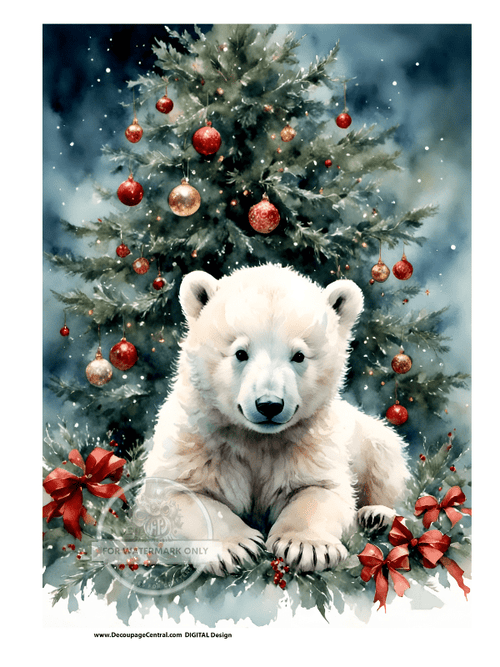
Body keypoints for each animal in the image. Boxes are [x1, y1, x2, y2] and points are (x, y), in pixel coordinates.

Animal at [144, 264, 409, 575]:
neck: (256, 437)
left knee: (385, 463)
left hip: (368, 437)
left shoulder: (311, 443)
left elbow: (320, 490)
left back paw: (376, 514)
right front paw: (236, 547)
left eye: (299, 355)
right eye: (240, 353)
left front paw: (307, 547)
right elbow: (174, 495)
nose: (269, 405)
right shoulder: (196, 438)